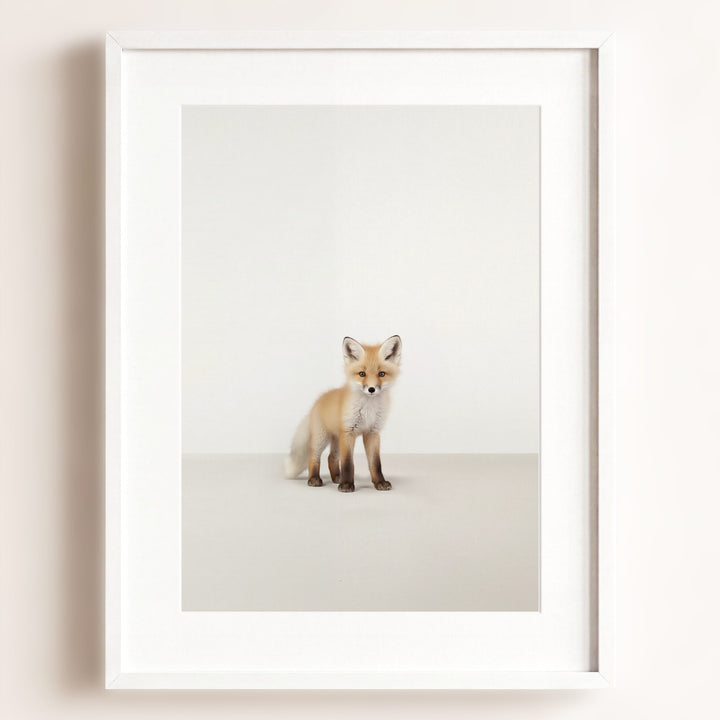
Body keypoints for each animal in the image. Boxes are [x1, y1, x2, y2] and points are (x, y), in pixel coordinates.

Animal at [284, 335, 402, 492]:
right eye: (362, 374)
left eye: (381, 374)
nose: (371, 389)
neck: (368, 408)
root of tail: (318, 401)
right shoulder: (348, 432)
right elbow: (347, 463)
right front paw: (346, 485)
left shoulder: (372, 433)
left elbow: (375, 463)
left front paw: (379, 482)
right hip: (322, 438)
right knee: (313, 457)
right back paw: (314, 479)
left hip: (337, 440)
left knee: (331, 458)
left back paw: (337, 478)